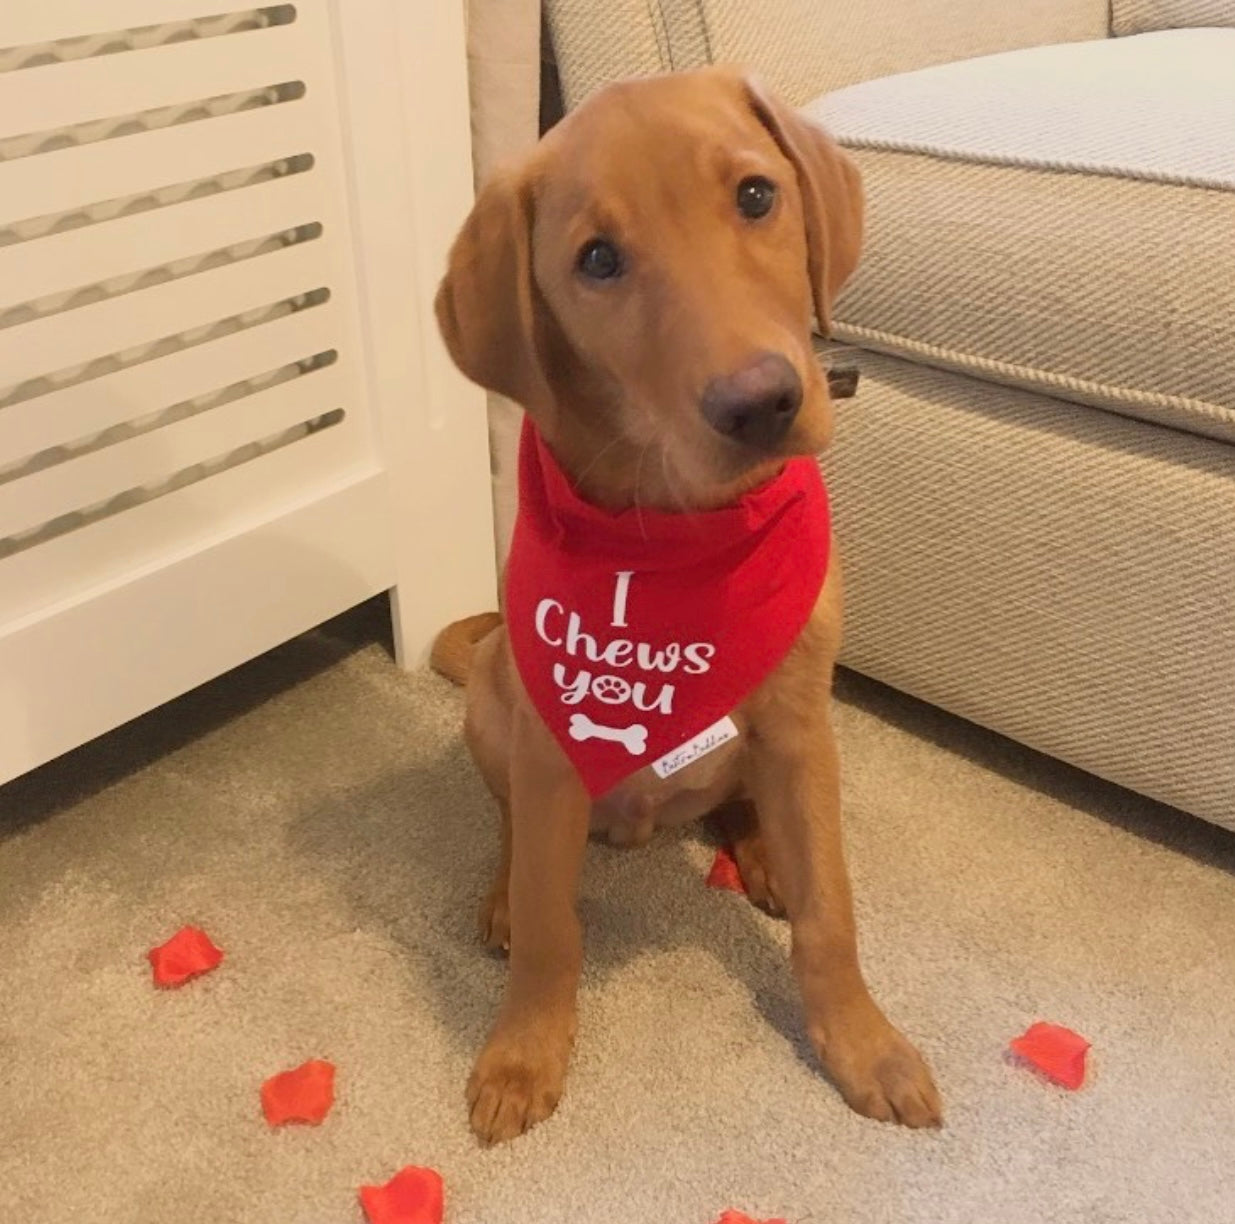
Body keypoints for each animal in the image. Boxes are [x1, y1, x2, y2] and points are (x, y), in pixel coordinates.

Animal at [429, 67, 938, 1146]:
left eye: (754, 196)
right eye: (597, 260)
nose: (760, 404)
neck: (675, 534)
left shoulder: (800, 725)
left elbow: (832, 915)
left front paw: (862, 1043)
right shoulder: (548, 747)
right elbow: (553, 926)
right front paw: (522, 1052)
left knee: (752, 808)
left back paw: (764, 854)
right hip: (493, 695)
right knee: (511, 833)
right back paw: (502, 897)